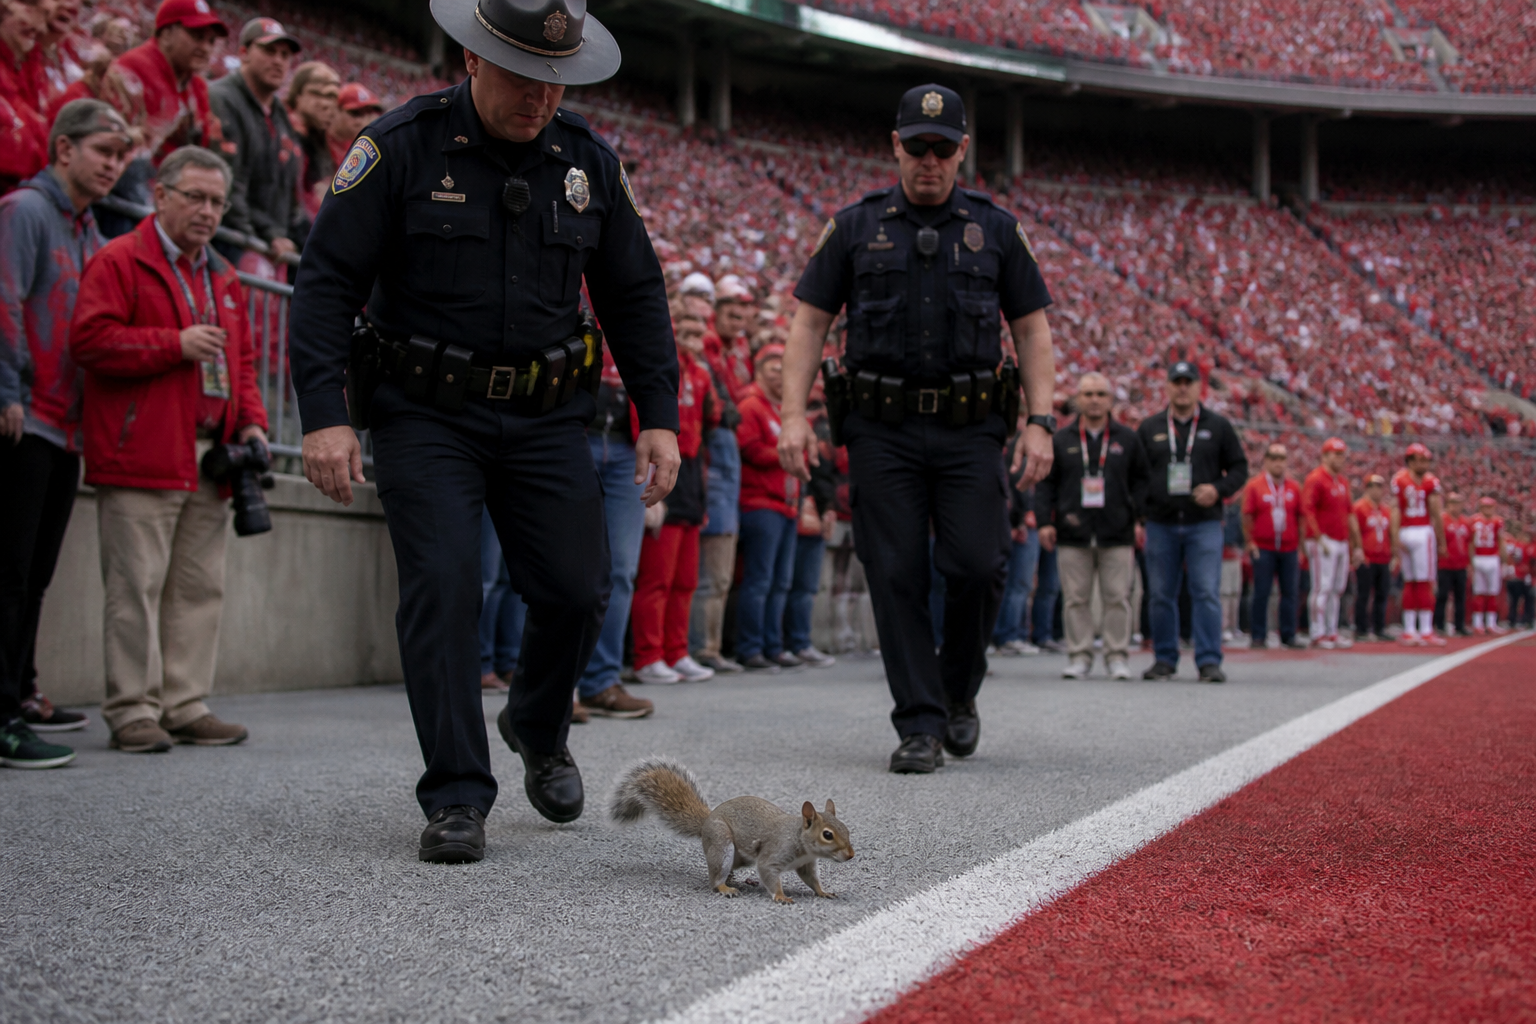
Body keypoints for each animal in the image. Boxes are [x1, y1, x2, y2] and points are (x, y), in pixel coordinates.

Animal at [611, 758, 854, 904]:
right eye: (827, 834)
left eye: (847, 829)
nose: (851, 855)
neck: (800, 840)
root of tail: (707, 822)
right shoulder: (774, 854)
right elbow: (768, 873)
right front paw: (781, 896)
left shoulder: (805, 864)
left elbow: (812, 880)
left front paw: (823, 892)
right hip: (721, 843)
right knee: (714, 878)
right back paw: (725, 887)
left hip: (738, 857)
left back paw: (731, 879)